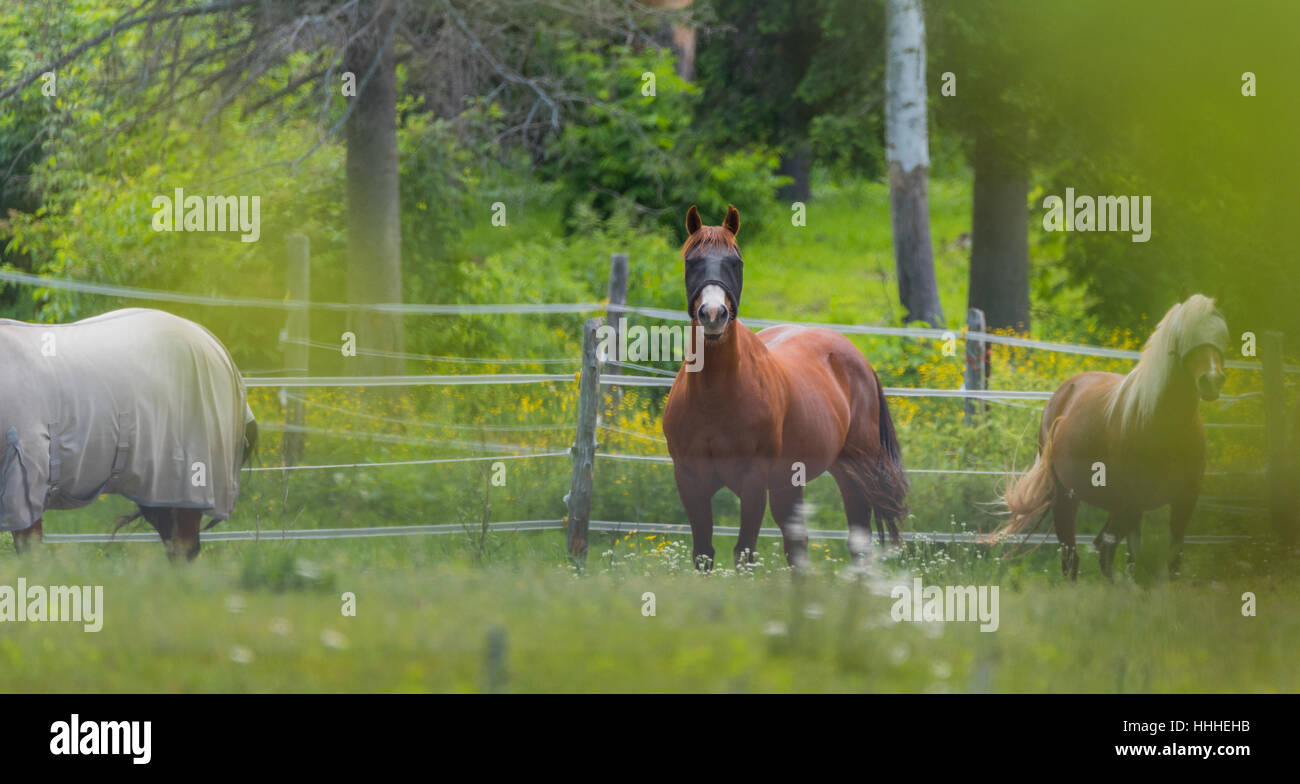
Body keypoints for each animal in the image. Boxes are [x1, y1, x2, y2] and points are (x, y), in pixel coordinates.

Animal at [665, 204, 909, 569]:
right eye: (691, 261)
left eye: (736, 262)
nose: (713, 314)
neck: (714, 397)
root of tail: (856, 357)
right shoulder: (690, 482)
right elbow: (704, 554)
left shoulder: (753, 483)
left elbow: (744, 553)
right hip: (791, 482)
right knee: (798, 546)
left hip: (854, 473)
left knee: (858, 542)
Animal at [993, 293, 1227, 577]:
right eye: (1184, 334)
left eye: (1222, 333)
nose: (1212, 380)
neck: (1161, 422)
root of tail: (1062, 393)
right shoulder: (1134, 502)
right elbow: (1135, 562)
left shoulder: (1184, 501)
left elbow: (1171, 563)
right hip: (1067, 499)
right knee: (1072, 559)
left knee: (1103, 551)